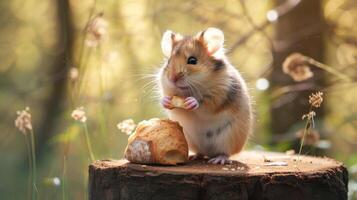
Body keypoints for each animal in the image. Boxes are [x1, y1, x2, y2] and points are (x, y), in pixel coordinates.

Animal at [157, 27, 252, 164]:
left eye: (192, 60)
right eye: (169, 61)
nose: (172, 78)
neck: (190, 90)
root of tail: (209, 153)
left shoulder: (219, 96)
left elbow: (204, 104)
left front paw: (192, 102)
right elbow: (172, 104)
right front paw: (165, 101)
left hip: (229, 138)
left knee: (225, 153)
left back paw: (218, 160)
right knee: (200, 152)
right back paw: (194, 156)